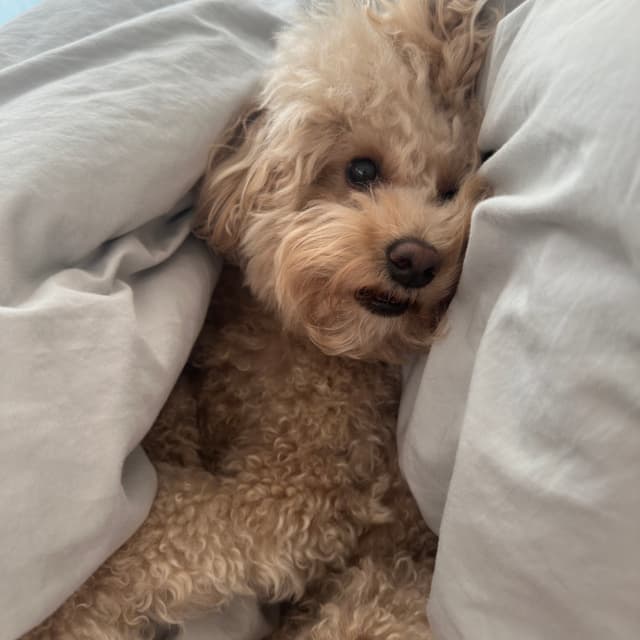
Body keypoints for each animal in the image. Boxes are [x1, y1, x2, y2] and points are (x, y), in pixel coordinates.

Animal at [24, 1, 493, 638]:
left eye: (449, 190)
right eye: (362, 170)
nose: (418, 260)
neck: (300, 339)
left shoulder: (290, 498)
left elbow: (156, 526)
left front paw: (62, 611)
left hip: (374, 604)